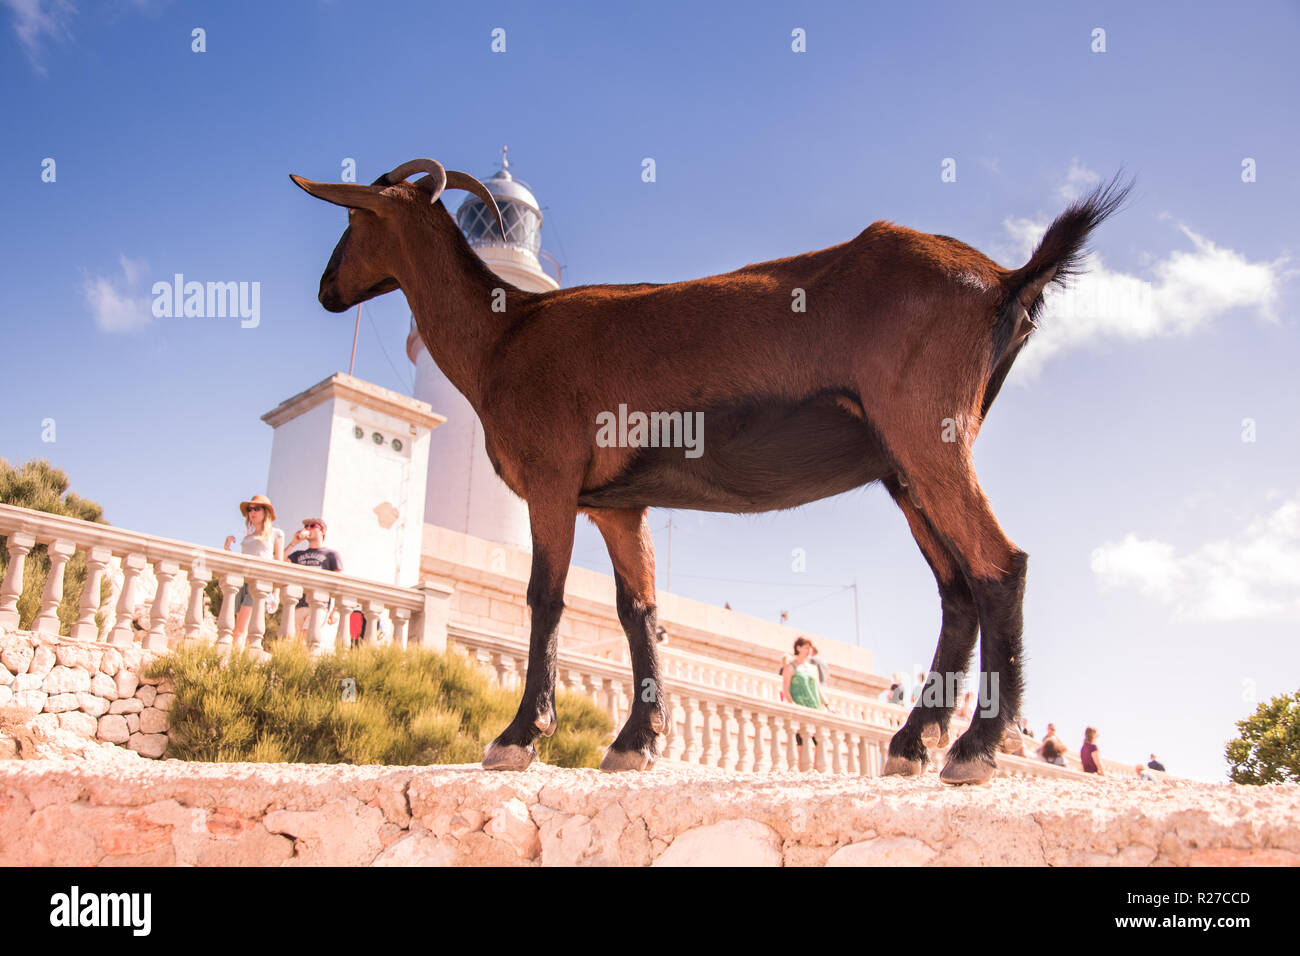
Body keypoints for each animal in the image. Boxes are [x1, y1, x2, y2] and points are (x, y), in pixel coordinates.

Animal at [292, 159, 1130, 784]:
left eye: (352, 220)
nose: (328, 291)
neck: (504, 335)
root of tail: (1007, 277)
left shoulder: (553, 481)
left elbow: (546, 600)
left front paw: (518, 737)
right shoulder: (616, 504)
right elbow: (638, 612)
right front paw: (635, 742)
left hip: (929, 434)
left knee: (999, 564)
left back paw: (974, 749)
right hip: (904, 468)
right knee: (957, 588)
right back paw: (909, 745)